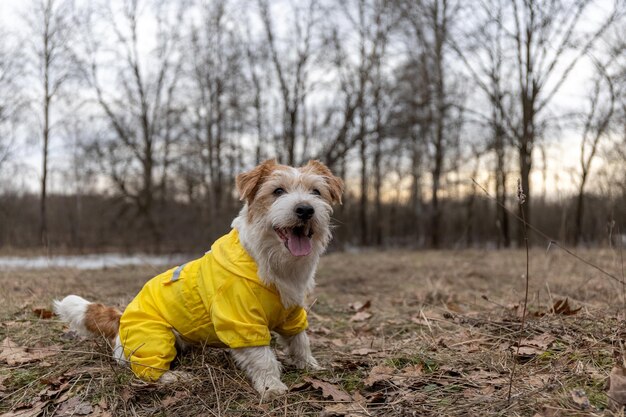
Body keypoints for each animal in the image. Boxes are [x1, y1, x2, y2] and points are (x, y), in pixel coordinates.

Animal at [53, 158, 344, 396]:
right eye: (278, 191)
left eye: (316, 192)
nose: (305, 209)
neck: (271, 261)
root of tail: (121, 318)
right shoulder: (240, 321)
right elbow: (263, 357)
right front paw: (272, 386)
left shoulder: (293, 311)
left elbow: (300, 340)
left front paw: (311, 366)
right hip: (155, 337)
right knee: (146, 372)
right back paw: (176, 378)